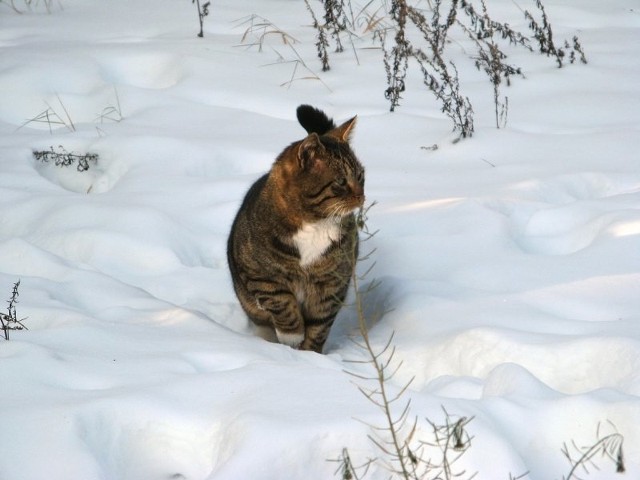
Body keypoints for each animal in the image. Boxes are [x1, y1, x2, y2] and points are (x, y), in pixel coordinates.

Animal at [228, 105, 364, 352]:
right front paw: (292, 336)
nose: (362, 195)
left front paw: (309, 354)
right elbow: (282, 304)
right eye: (341, 181)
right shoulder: (261, 276)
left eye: (360, 176)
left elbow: (320, 324)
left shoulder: (332, 283)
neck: (315, 224)